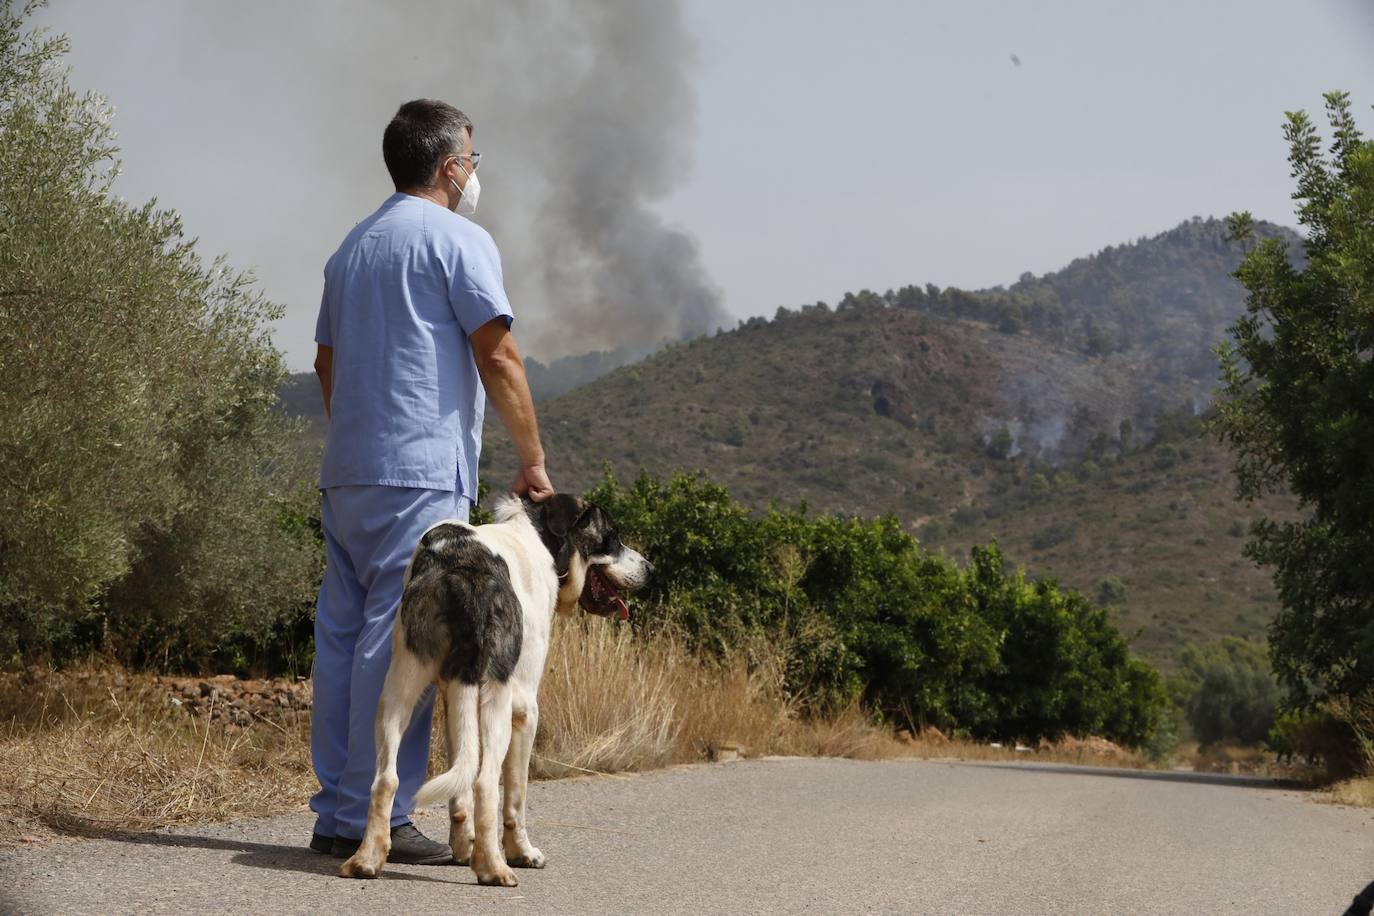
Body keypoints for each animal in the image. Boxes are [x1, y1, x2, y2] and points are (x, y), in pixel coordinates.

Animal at [338, 497, 648, 884]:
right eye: (612, 537)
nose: (650, 569)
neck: (538, 536)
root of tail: (462, 572)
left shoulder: (454, 694)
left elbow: (459, 791)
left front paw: (462, 847)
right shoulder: (526, 709)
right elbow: (515, 796)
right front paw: (521, 853)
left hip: (398, 688)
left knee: (386, 779)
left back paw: (366, 860)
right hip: (496, 703)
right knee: (485, 783)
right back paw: (494, 868)